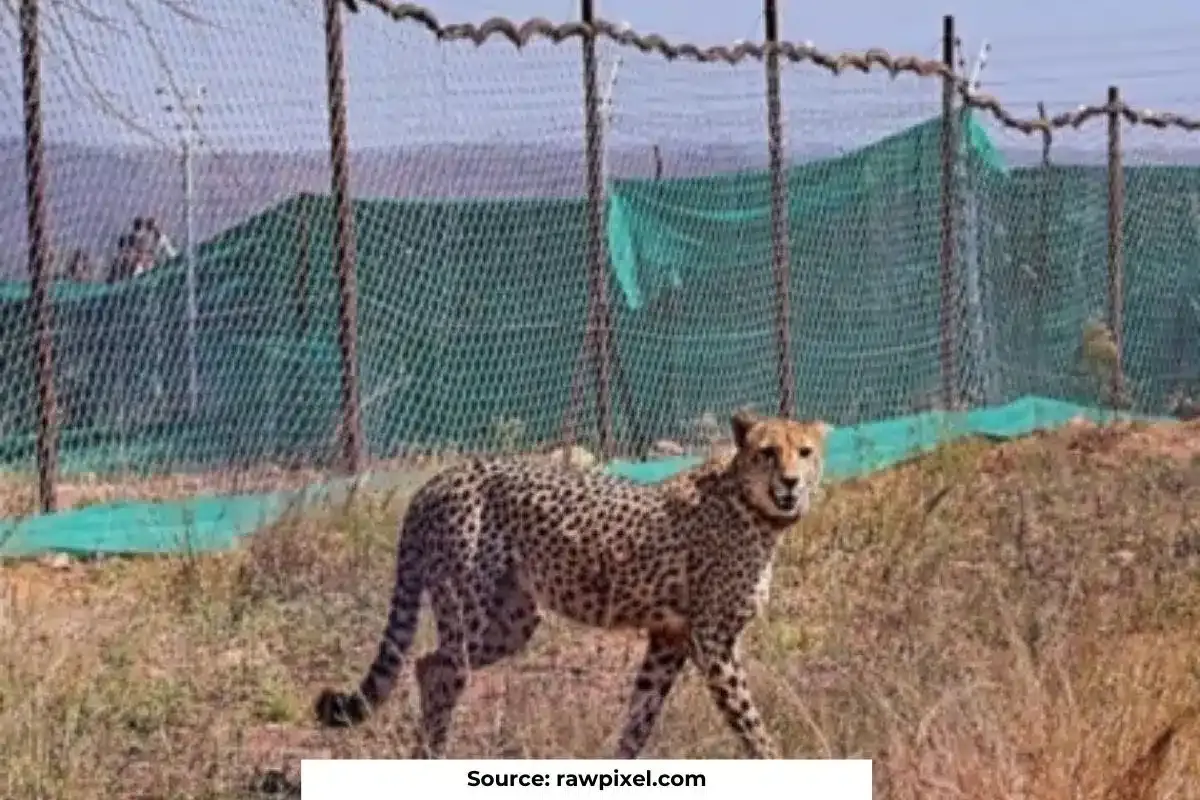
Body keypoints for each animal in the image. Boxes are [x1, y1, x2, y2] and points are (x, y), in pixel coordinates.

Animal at [313, 409, 831, 759]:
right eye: (768, 452)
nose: (791, 482)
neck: (754, 507)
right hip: (468, 609)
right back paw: (433, 754)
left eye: (805, 453)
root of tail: (439, 478)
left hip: (513, 621)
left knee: (426, 663)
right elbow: (750, 724)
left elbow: (640, 717)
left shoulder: (669, 638)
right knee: (442, 669)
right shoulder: (713, 642)